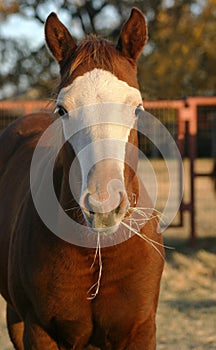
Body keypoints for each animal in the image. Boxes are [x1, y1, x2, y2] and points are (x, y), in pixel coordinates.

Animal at [0, 8, 164, 350]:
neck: (96, 251)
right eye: (62, 110)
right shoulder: (39, 331)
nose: (103, 207)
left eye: (137, 109)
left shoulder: (141, 330)